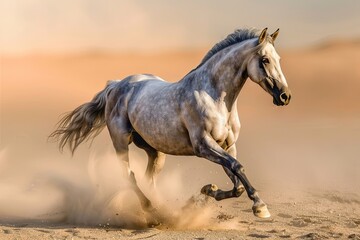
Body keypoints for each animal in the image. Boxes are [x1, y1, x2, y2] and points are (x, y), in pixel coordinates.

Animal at [50, 27, 292, 218]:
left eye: (279, 59)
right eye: (265, 60)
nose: (285, 96)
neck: (214, 97)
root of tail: (117, 84)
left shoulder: (228, 146)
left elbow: (237, 181)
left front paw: (208, 190)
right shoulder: (203, 146)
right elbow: (238, 167)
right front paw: (260, 207)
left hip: (155, 151)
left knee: (148, 179)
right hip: (120, 142)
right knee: (129, 176)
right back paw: (152, 210)